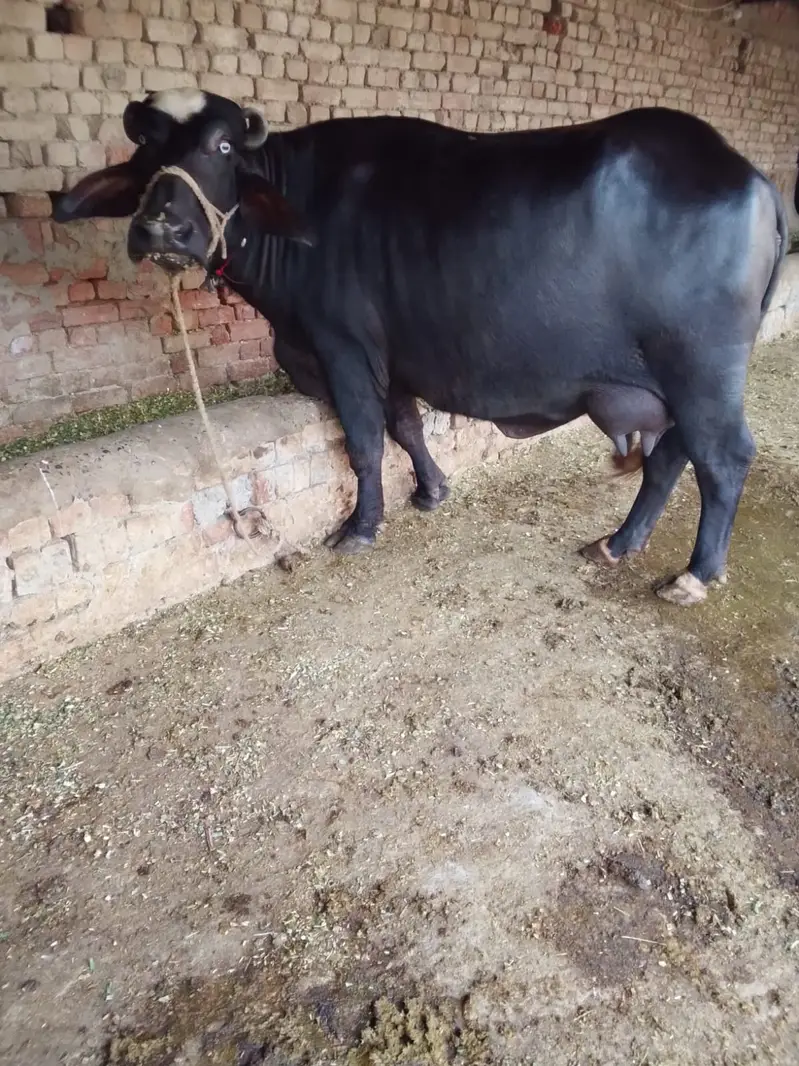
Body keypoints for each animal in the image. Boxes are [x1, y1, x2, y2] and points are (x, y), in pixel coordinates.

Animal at [53, 89, 788, 606]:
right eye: (145, 152)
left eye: (222, 146)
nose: (161, 227)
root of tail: (750, 178)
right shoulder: (391, 355)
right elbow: (404, 424)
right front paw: (432, 490)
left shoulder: (341, 347)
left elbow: (363, 441)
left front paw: (361, 525)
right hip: (676, 384)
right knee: (670, 456)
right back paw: (617, 542)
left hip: (700, 371)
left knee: (724, 457)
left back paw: (694, 575)